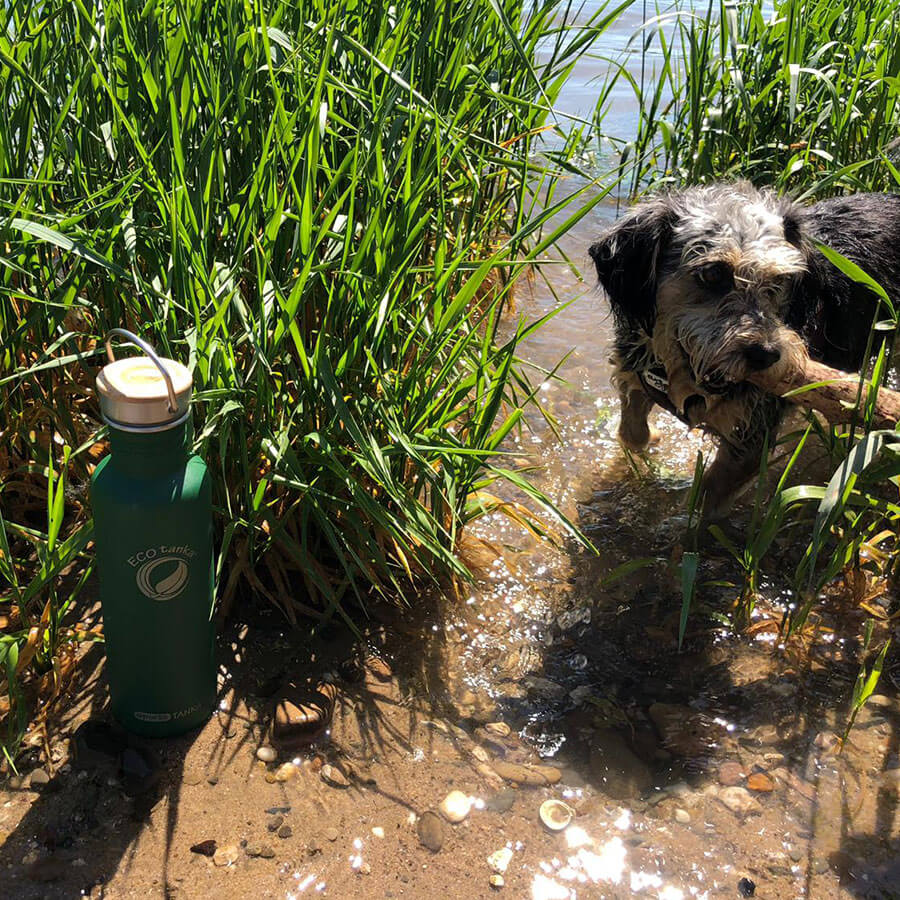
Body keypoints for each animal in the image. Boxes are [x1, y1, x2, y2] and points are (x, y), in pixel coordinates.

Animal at [592, 181, 900, 520]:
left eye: (780, 280)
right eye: (713, 273)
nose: (767, 354)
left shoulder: (749, 444)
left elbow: (703, 508)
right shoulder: (634, 373)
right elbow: (631, 433)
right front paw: (653, 441)